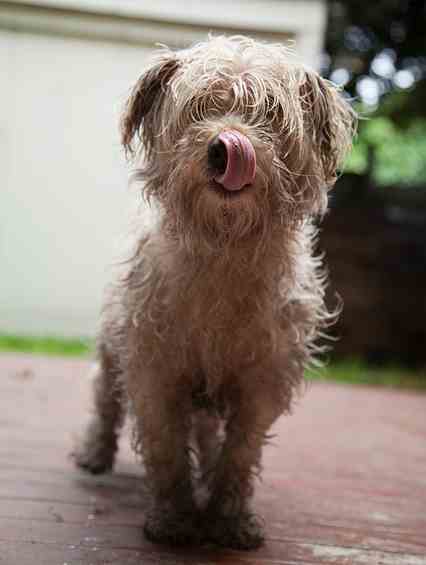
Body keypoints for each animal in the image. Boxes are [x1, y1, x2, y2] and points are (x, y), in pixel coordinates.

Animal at [74, 34, 356, 548]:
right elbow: (166, 449)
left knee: (207, 433)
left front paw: (229, 518)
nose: (225, 147)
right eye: (199, 108)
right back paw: (95, 453)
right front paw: (175, 518)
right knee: (105, 399)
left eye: (269, 112)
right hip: (111, 349)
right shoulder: (156, 372)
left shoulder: (261, 383)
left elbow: (239, 453)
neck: (225, 250)